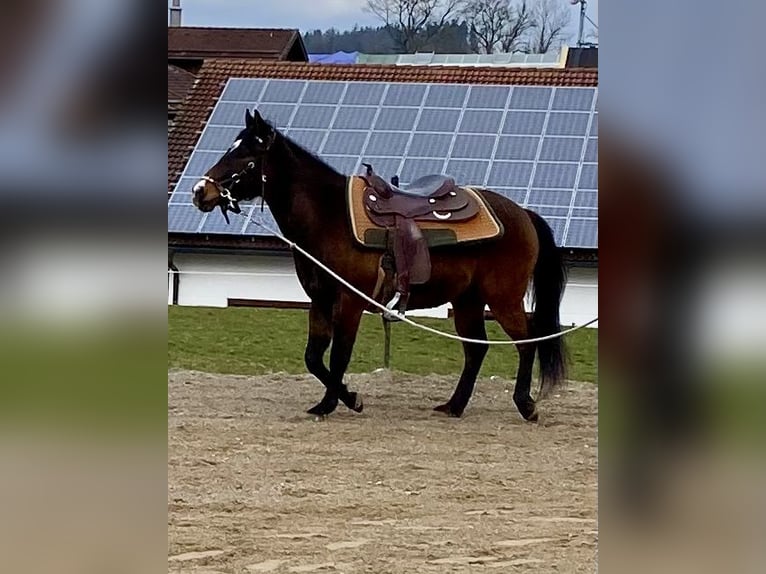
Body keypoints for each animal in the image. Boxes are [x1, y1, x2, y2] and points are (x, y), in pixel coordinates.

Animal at [192, 108, 567, 420]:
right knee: (476, 349)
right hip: (467, 300)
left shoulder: (350, 301)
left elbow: (339, 356)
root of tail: (523, 214)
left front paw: (334, 403)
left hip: (503, 298)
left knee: (527, 341)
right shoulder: (320, 301)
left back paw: (525, 404)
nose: (199, 191)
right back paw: (454, 405)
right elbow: (314, 357)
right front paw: (344, 398)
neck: (330, 217)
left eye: (246, 156)